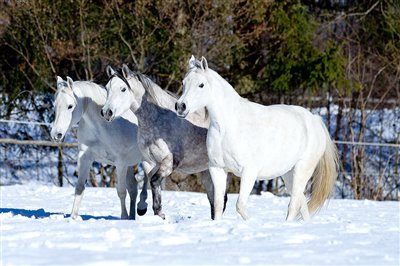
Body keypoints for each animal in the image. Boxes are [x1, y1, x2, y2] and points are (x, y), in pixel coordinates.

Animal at [50, 76, 148, 219]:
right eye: (55, 106)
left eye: (70, 106)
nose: (56, 134)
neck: (103, 127)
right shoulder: (85, 158)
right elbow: (79, 188)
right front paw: (73, 217)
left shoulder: (120, 163)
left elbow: (121, 191)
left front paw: (123, 218)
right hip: (130, 165)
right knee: (133, 188)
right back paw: (132, 218)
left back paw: (142, 208)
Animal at [101, 65, 230, 219]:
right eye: (107, 88)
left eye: (123, 89)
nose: (106, 112)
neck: (157, 120)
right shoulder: (149, 162)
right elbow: (152, 184)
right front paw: (152, 211)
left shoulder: (169, 162)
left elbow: (154, 181)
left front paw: (157, 213)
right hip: (205, 171)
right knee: (213, 200)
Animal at [175, 55, 338, 220]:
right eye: (183, 83)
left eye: (201, 85)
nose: (180, 106)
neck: (227, 127)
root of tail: (315, 120)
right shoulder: (217, 169)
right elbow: (219, 205)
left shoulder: (249, 172)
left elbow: (240, 205)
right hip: (288, 174)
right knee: (301, 203)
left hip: (302, 170)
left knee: (293, 205)